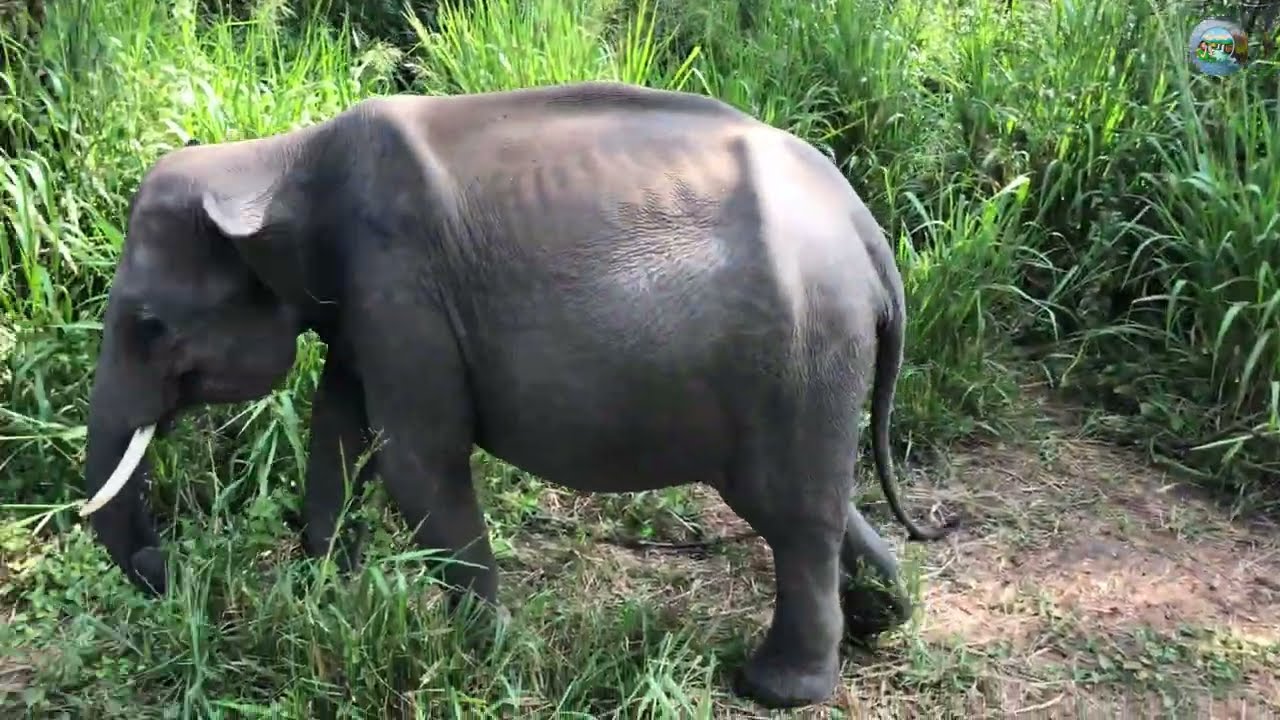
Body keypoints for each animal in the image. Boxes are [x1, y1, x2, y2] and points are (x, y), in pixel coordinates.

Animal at [77, 80, 950, 709]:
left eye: (149, 325)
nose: (167, 574)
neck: (282, 156)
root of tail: (867, 232)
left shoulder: (399, 283)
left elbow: (416, 462)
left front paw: (485, 654)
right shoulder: (364, 307)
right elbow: (340, 435)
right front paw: (322, 595)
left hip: (803, 348)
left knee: (789, 511)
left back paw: (773, 688)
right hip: (804, 368)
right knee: (809, 499)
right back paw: (880, 619)